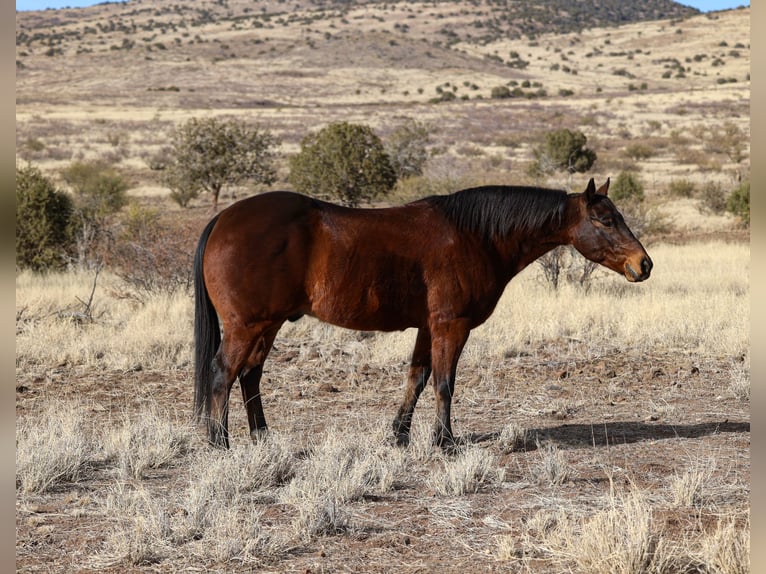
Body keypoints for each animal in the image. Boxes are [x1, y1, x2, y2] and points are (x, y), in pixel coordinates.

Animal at [194, 179, 656, 450]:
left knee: (249, 376)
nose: (644, 264)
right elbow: (444, 384)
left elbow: (415, 380)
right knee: (223, 373)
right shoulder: (451, 325)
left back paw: (262, 438)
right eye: (605, 220)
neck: (475, 235)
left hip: (267, 325)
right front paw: (444, 441)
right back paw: (220, 444)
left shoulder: (425, 327)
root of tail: (223, 219)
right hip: (247, 326)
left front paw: (398, 437)